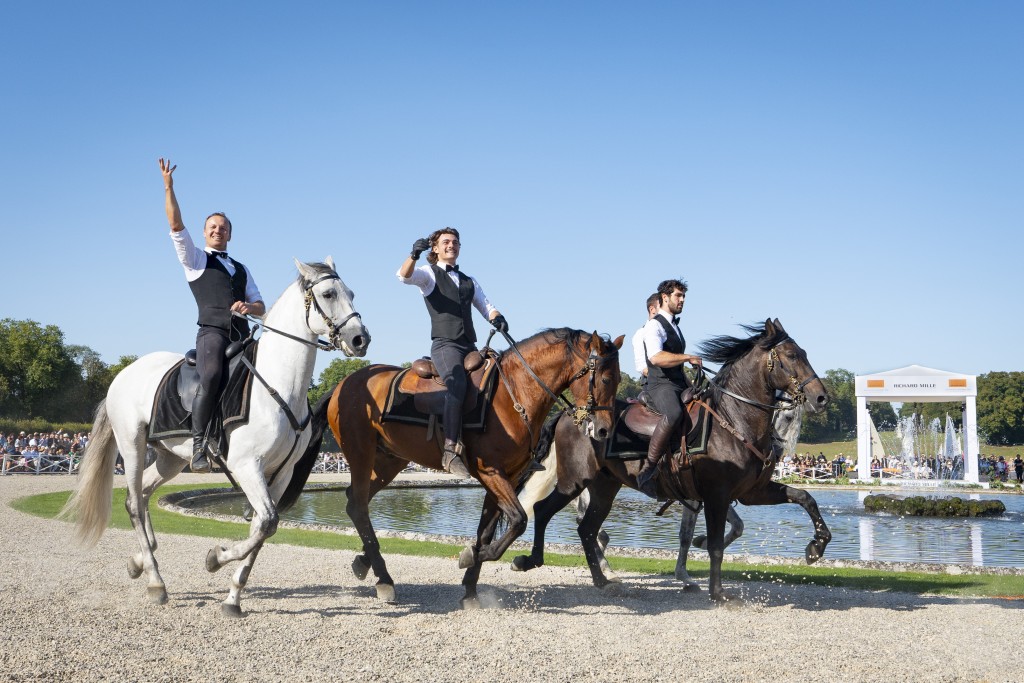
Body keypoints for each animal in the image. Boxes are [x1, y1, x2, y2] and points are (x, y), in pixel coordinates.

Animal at [61, 259, 370, 618]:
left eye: (352, 293)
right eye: (329, 293)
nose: (361, 339)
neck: (278, 385)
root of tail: (124, 373)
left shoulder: (280, 474)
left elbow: (263, 528)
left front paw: (233, 596)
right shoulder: (246, 465)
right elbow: (266, 522)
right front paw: (215, 559)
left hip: (169, 458)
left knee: (146, 494)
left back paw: (141, 560)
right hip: (133, 446)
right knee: (134, 503)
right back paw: (155, 582)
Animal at [319, 327, 622, 606]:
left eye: (619, 379)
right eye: (606, 378)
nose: (604, 430)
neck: (514, 393)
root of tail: (345, 383)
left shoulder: (508, 477)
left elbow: (486, 532)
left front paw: (471, 588)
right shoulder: (491, 472)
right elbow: (519, 520)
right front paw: (474, 557)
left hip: (389, 461)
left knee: (355, 503)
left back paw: (365, 561)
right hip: (361, 454)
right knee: (359, 505)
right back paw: (384, 579)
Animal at [507, 317, 827, 602]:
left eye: (804, 352)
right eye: (791, 355)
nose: (821, 398)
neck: (734, 419)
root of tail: (570, 413)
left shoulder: (751, 492)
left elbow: (805, 497)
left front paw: (816, 547)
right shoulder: (716, 495)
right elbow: (713, 544)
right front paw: (717, 592)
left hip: (604, 488)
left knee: (586, 529)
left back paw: (602, 579)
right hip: (574, 481)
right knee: (546, 511)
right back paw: (530, 561)